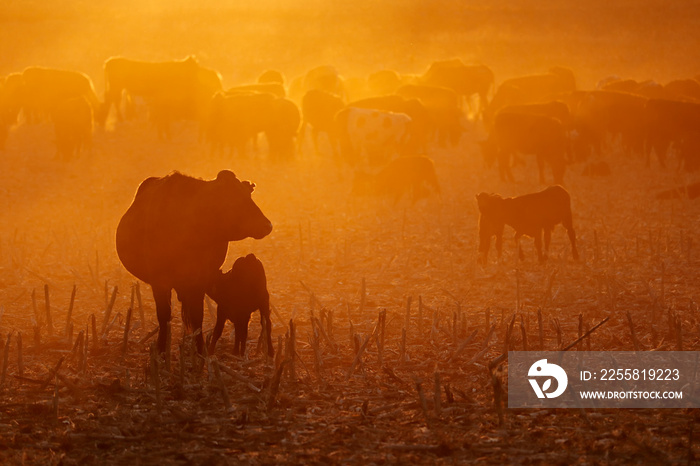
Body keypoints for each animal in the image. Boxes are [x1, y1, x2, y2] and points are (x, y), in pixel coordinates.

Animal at [116, 169, 272, 352]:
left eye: (248, 195)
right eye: (234, 198)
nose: (267, 225)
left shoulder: (200, 280)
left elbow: (198, 316)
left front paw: (200, 350)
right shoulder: (159, 281)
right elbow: (164, 317)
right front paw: (161, 350)